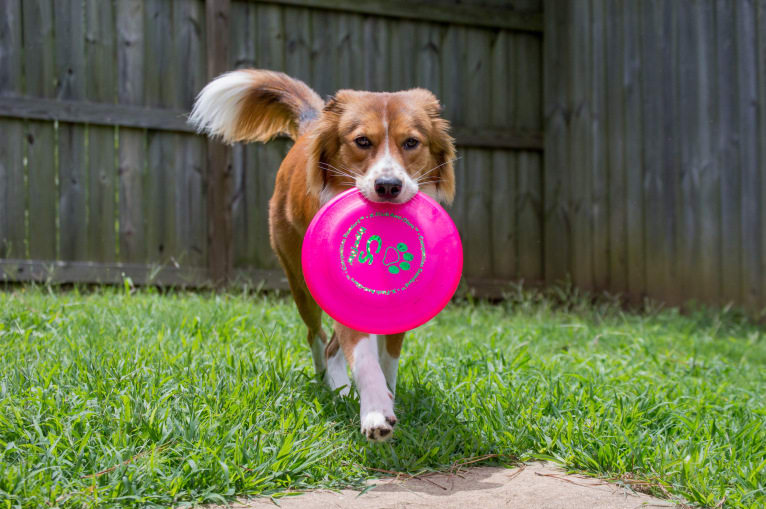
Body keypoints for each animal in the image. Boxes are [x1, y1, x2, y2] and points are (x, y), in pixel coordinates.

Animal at [191, 69, 456, 438]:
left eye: (411, 143)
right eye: (362, 141)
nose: (388, 186)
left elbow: (388, 356)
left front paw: (387, 397)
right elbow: (363, 358)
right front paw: (375, 411)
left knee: (333, 346)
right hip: (301, 282)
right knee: (316, 336)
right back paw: (330, 384)